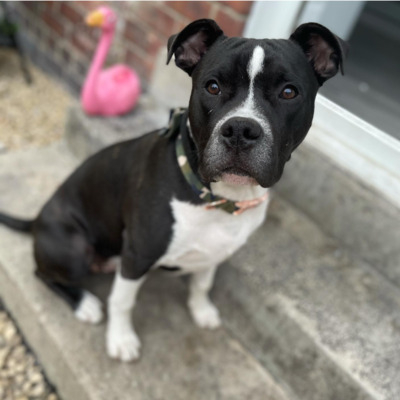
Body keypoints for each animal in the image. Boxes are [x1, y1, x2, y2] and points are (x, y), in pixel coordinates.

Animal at [0, 19, 346, 362]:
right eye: (212, 86)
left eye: (289, 92)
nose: (241, 129)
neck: (218, 198)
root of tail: (36, 220)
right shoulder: (137, 254)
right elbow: (122, 301)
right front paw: (121, 339)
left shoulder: (216, 251)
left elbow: (202, 284)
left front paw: (202, 311)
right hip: (73, 248)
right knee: (43, 274)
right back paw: (84, 303)